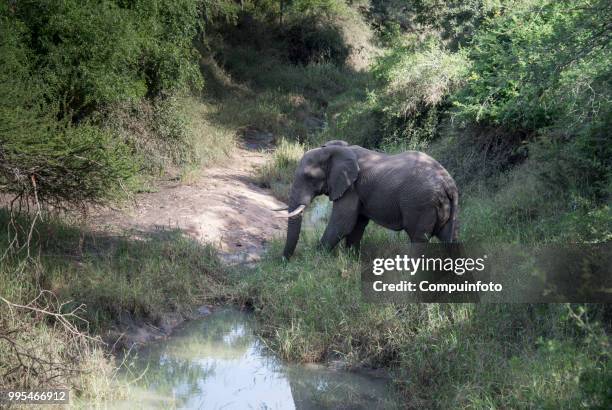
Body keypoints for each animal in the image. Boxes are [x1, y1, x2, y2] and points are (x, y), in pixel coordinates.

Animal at [276, 139, 460, 258]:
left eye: (309, 177)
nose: (285, 260)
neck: (333, 149)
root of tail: (449, 184)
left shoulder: (351, 187)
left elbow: (343, 222)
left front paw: (316, 257)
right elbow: (357, 224)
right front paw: (351, 258)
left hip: (421, 204)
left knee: (418, 239)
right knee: (451, 238)